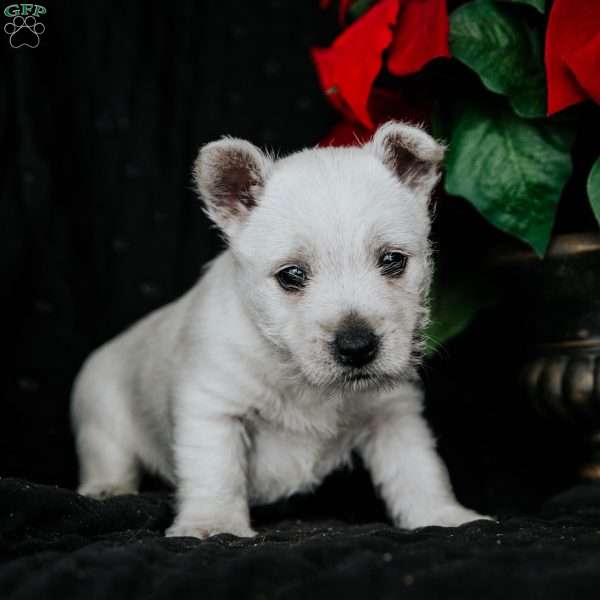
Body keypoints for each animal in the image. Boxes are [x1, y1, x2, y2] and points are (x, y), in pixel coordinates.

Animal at [72, 119, 490, 536]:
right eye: (291, 275)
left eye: (392, 260)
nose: (357, 347)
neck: (300, 375)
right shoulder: (213, 410)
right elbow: (215, 472)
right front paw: (213, 523)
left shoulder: (393, 415)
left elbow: (417, 470)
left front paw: (444, 516)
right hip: (102, 416)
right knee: (109, 456)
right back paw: (107, 488)